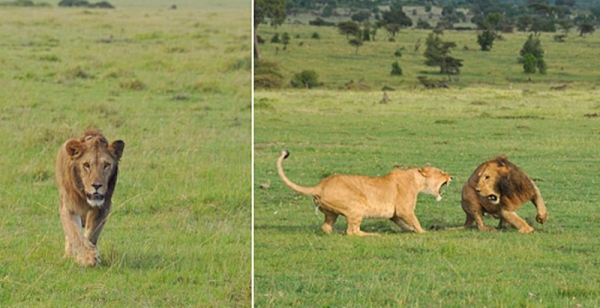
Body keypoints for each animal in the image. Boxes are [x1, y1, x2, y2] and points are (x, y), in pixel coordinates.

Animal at [55, 129, 124, 266]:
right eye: (86, 165)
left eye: (106, 165)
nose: (96, 185)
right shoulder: (68, 207)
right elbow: (75, 234)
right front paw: (87, 257)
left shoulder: (103, 208)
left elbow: (92, 234)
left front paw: (91, 255)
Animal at [276, 150, 450, 236]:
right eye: (441, 172)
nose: (451, 177)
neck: (417, 179)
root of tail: (320, 185)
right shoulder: (404, 209)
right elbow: (414, 220)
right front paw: (422, 232)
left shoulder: (395, 214)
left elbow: (403, 223)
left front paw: (410, 231)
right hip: (356, 206)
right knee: (352, 232)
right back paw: (371, 234)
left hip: (331, 212)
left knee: (326, 227)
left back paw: (337, 231)